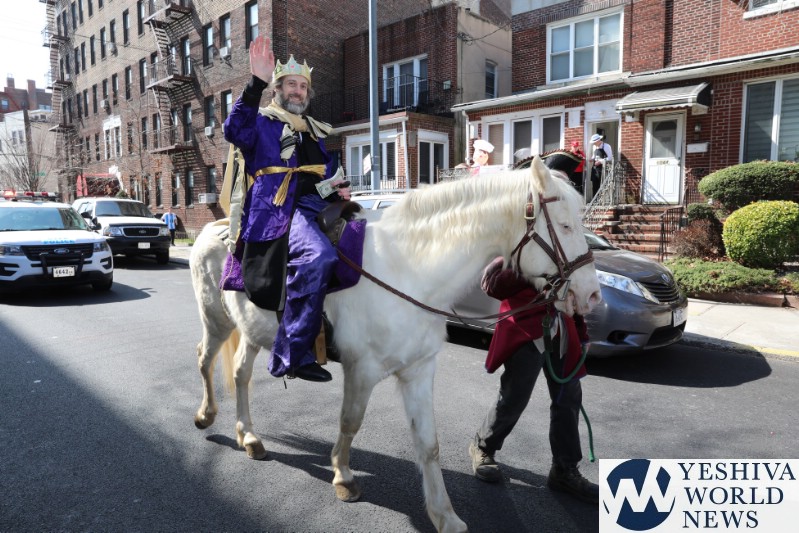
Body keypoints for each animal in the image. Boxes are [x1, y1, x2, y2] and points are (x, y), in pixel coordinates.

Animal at [189, 156, 601, 533]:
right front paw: (343, 477)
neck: (408, 269)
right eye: (565, 225)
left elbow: (429, 443)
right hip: (215, 320)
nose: (592, 296)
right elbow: (350, 422)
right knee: (205, 359)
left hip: (251, 332)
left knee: (240, 374)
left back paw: (249, 436)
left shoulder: (419, 370)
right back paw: (206, 415)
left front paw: (444, 515)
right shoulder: (361, 368)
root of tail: (215, 227)